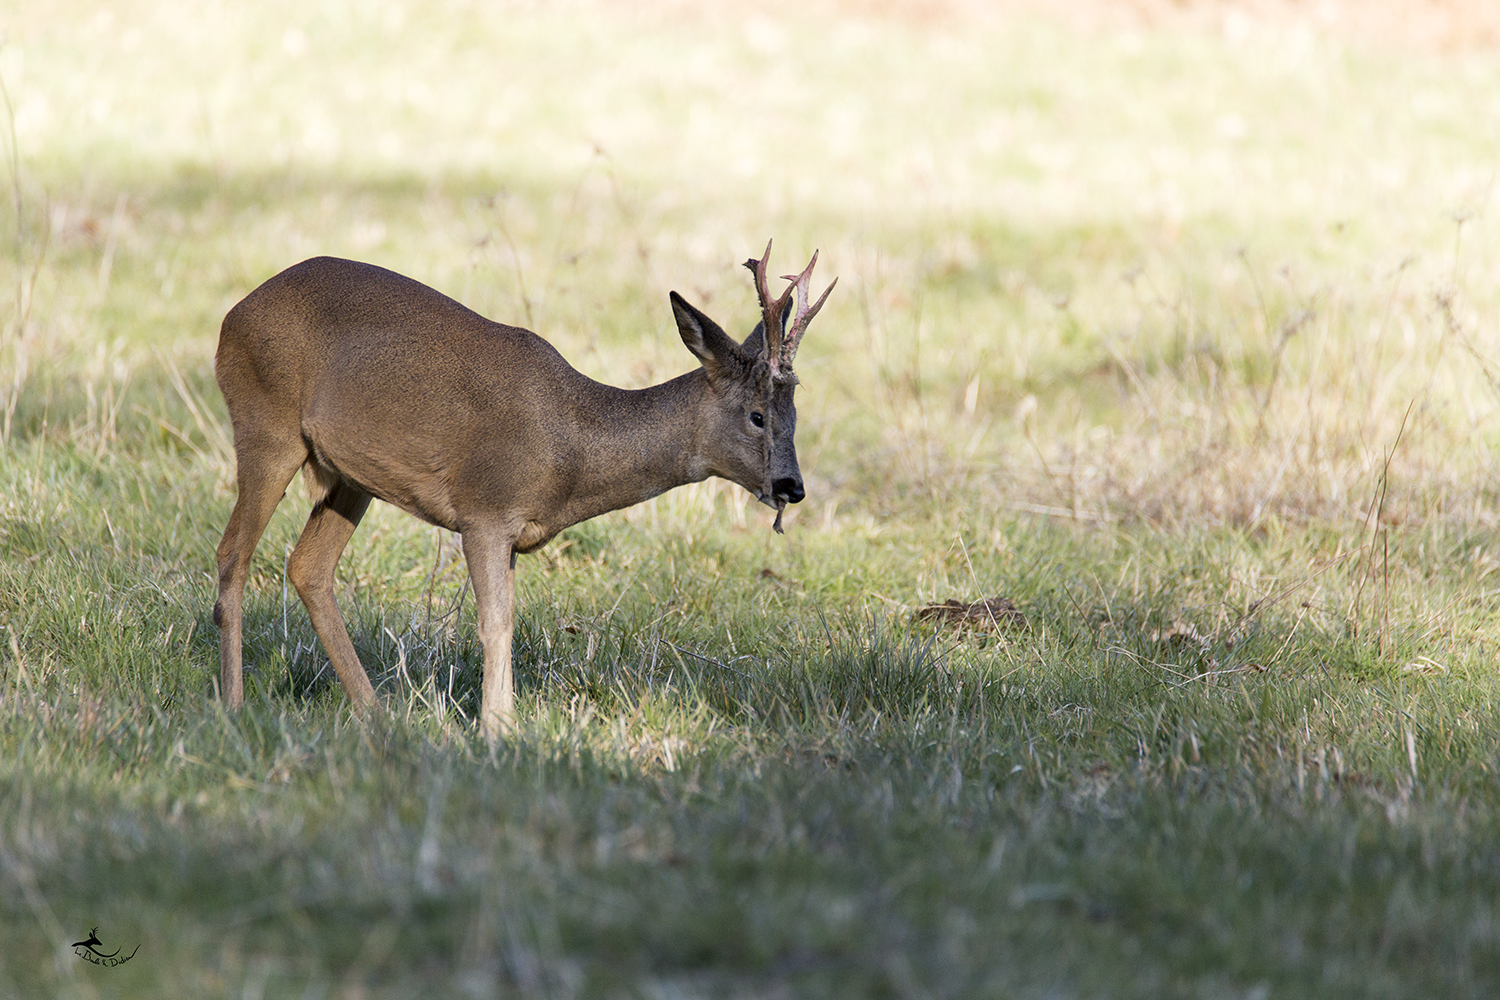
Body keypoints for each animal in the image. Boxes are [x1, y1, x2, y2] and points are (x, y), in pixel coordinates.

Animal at [214, 242, 834, 743]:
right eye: (757, 415)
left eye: (795, 415)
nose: (792, 486)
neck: (573, 450)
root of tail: (233, 314)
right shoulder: (485, 511)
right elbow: (497, 624)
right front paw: (496, 732)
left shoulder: (512, 535)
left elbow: (507, 618)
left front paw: (501, 725)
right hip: (266, 424)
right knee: (233, 553)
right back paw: (234, 706)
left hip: (350, 474)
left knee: (307, 566)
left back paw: (378, 715)